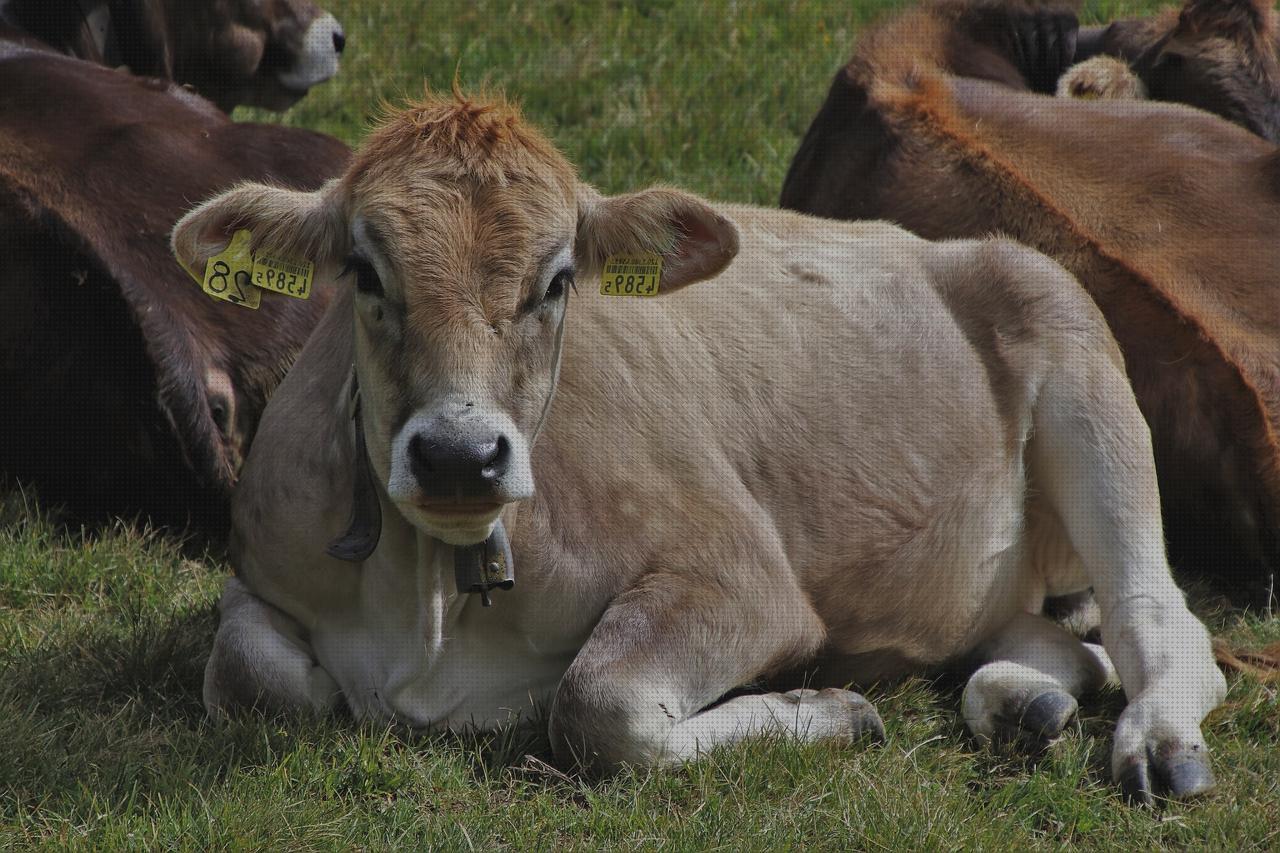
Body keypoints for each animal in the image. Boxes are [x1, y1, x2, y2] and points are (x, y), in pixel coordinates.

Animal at [175, 92, 1223, 804]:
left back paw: (1159, 744)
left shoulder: (742, 576)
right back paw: (1021, 704)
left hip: (1078, 358)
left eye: (558, 279)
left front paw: (825, 710)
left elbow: (599, 706)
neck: (432, 605)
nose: (459, 455)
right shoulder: (256, 570)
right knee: (1057, 646)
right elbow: (253, 677)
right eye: (364, 269)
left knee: (1163, 622)